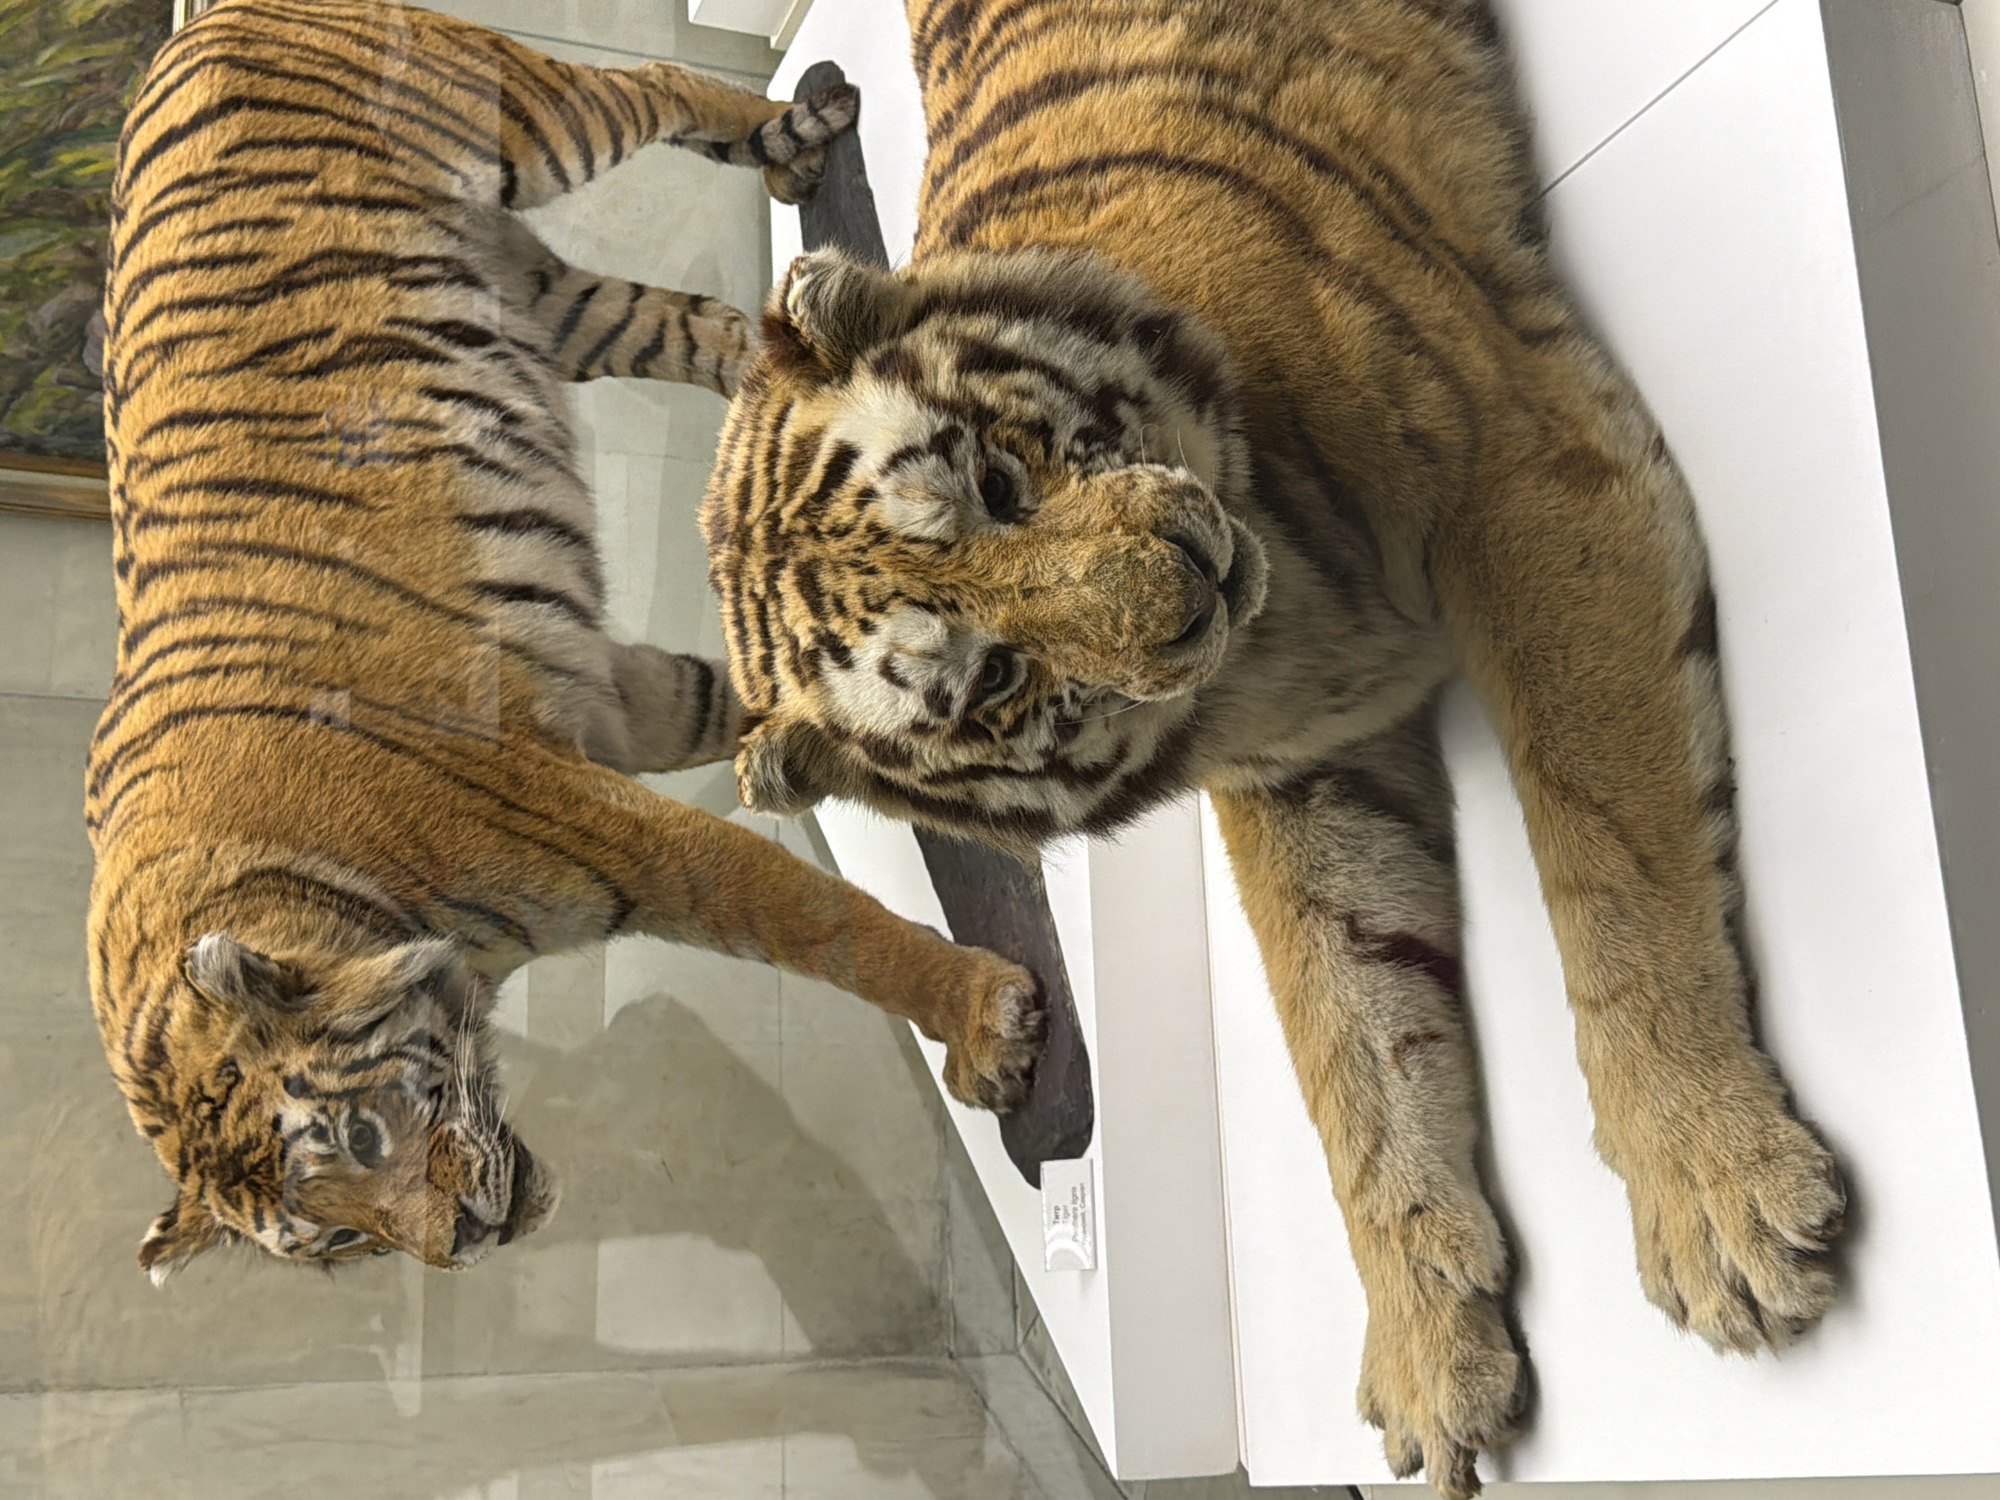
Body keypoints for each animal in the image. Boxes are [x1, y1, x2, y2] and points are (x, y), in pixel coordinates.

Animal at [86, 0, 1046, 1289]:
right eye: (335, 1239)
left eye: (360, 1136)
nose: (461, 1245)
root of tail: (188, 31)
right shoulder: (613, 702)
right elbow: (753, 697)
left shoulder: (614, 826)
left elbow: (825, 923)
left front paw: (986, 1022)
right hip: (551, 301)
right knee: (724, 333)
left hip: (534, 123)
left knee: (656, 87)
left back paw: (801, 129)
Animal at [700, 0, 1849, 1493]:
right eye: (993, 680)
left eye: (998, 483)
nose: (1186, 584)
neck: (1281, 617)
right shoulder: (1302, 770)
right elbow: (1349, 1032)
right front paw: (1430, 1354)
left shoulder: (1525, 475)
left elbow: (1609, 857)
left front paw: (1717, 1199)